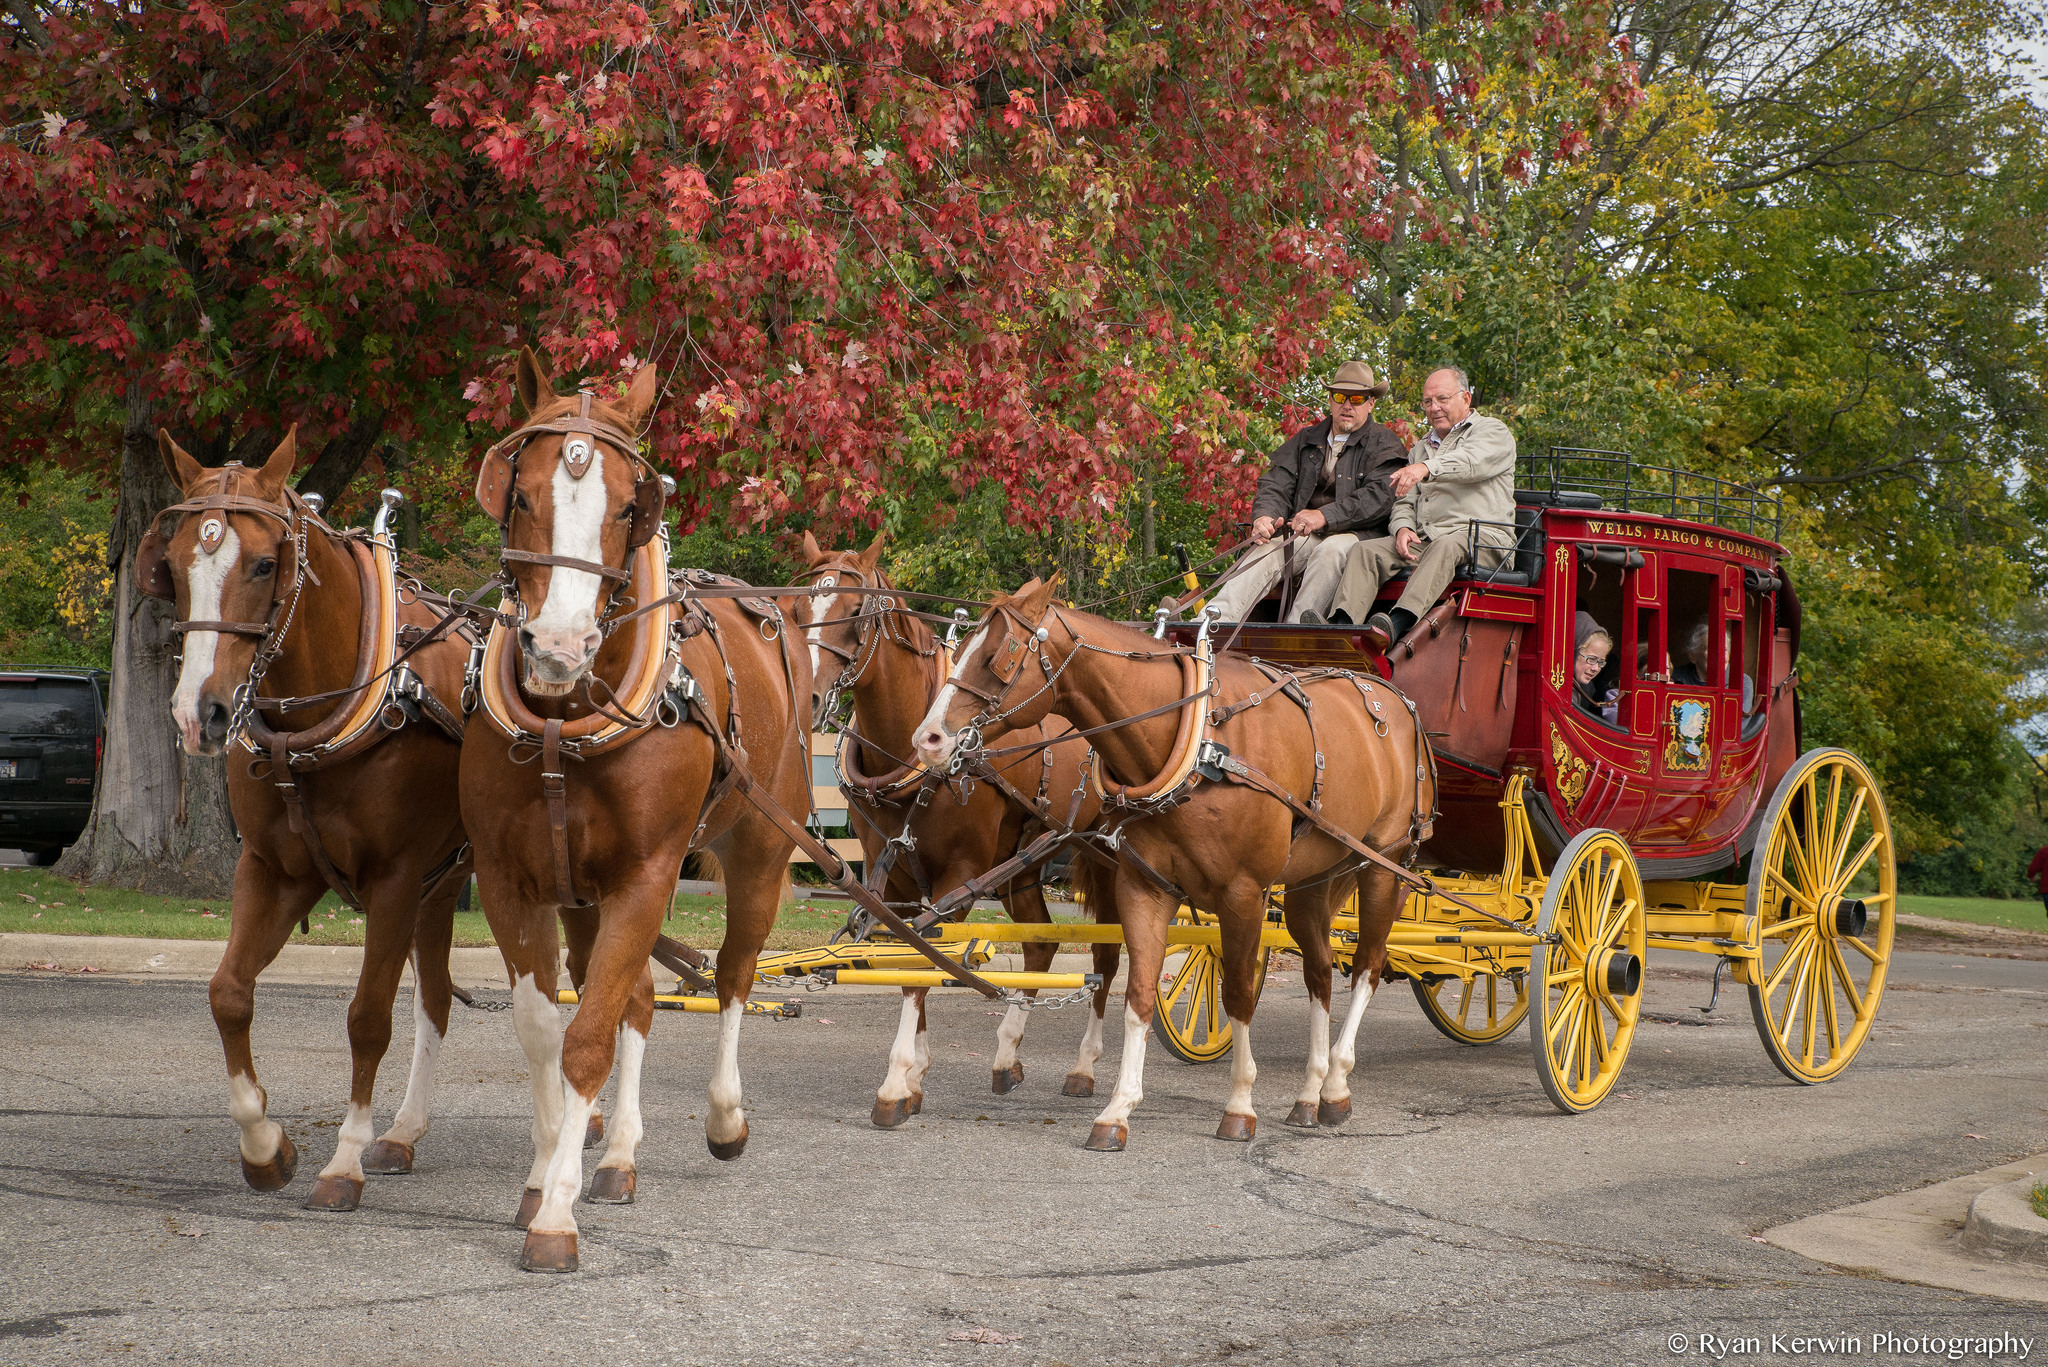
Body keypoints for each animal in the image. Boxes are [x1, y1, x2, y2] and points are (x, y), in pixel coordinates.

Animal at [150, 428, 471, 1205]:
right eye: (171, 567)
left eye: (266, 564)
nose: (198, 713)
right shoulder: (276, 868)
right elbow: (229, 993)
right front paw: (265, 1145)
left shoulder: (394, 879)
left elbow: (367, 1017)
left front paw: (342, 1160)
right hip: (446, 883)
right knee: (438, 996)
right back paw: (404, 1133)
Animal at [462, 350, 806, 1270]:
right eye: (518, 492)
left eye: (628, 505)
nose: (557, 646)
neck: (564, 718)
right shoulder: (511, 878)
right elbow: (545, 1029)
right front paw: (548, 1172)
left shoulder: (649, 877)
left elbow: (589, 1034)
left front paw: (556, 1216)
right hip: (584, 891)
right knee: (638, 997)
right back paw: (613, 1154)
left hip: (758, 854)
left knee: (732, 975)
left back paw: (723, 1115)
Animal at [794, 532, 1114, 1123]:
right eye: (801, 608)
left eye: (856, 612)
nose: (806, 698)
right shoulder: (890, 875)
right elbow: (907, 956)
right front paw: (914, 1075)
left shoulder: (958, 875)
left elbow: (924, 961)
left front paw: (896, 1083)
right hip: (1021, 864)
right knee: (1041, 942)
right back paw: (1007, 1055)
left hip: (1110, 857)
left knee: (1108, 953)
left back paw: (1083, 1066)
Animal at [921, 582, 1433, 1155]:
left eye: (999, 657)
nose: (928, 739)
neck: (1195, 744)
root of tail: (1398, 701)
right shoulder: (1143, 886)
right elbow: (1140, 994)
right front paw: (1117, 1110)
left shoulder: (1244, 893)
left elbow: (1237, 994)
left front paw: (1239, 1105)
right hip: (1310, 881)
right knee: (1320, 970)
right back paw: (1310, 1092)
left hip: (1384, 864)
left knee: (1367, 964)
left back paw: (1338, 1083)